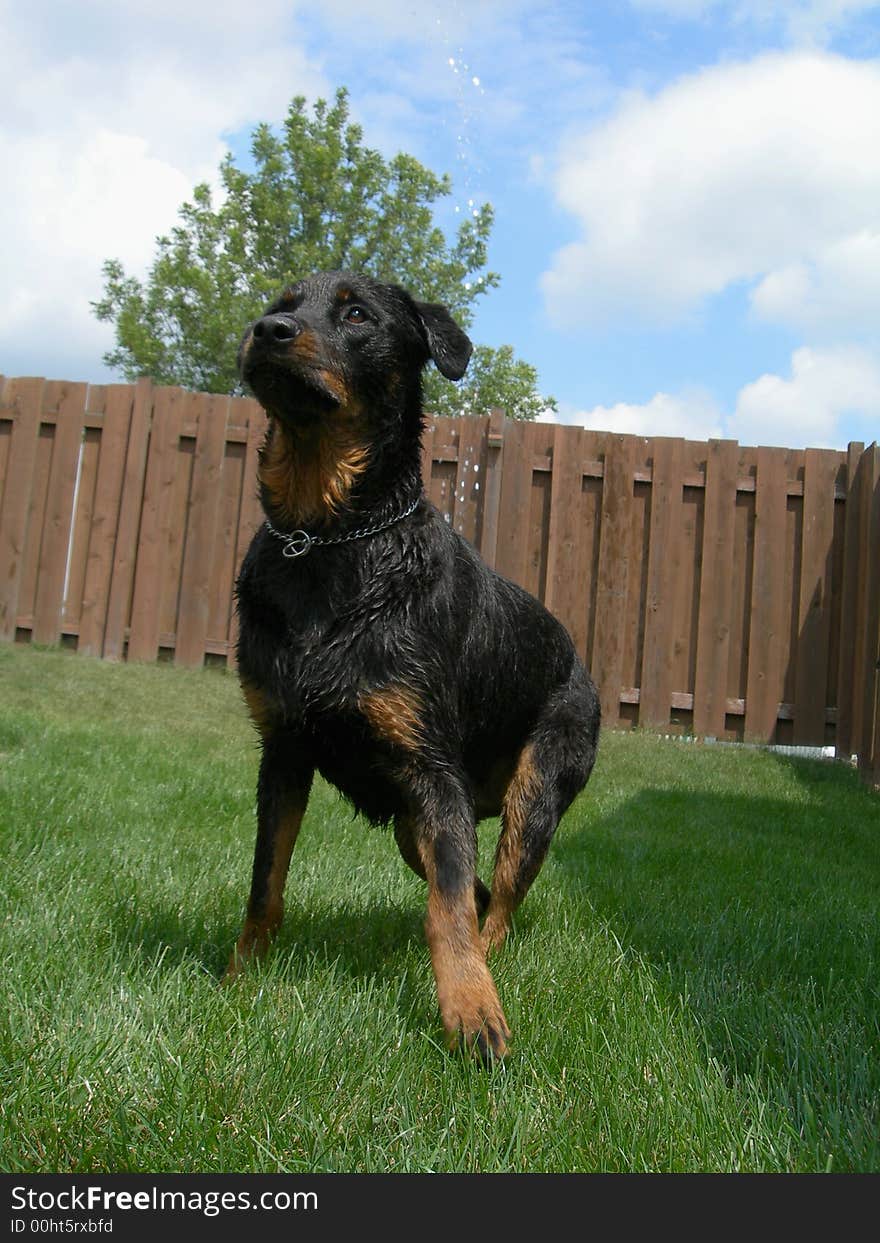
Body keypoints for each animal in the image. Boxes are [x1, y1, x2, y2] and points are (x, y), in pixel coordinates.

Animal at [223, 269, 601, 1059]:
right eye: (280, 305)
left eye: (357, 315)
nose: (267, 331)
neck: (330, 536)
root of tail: (583, 666)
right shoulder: (283, 753)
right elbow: (265, 883)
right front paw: (239, 979)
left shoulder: (431, 773)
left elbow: (448, 910)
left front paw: (472, 1011)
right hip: (416, 821)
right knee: (475, 889)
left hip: (532, 794)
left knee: (498, 899)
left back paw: (490, 963)